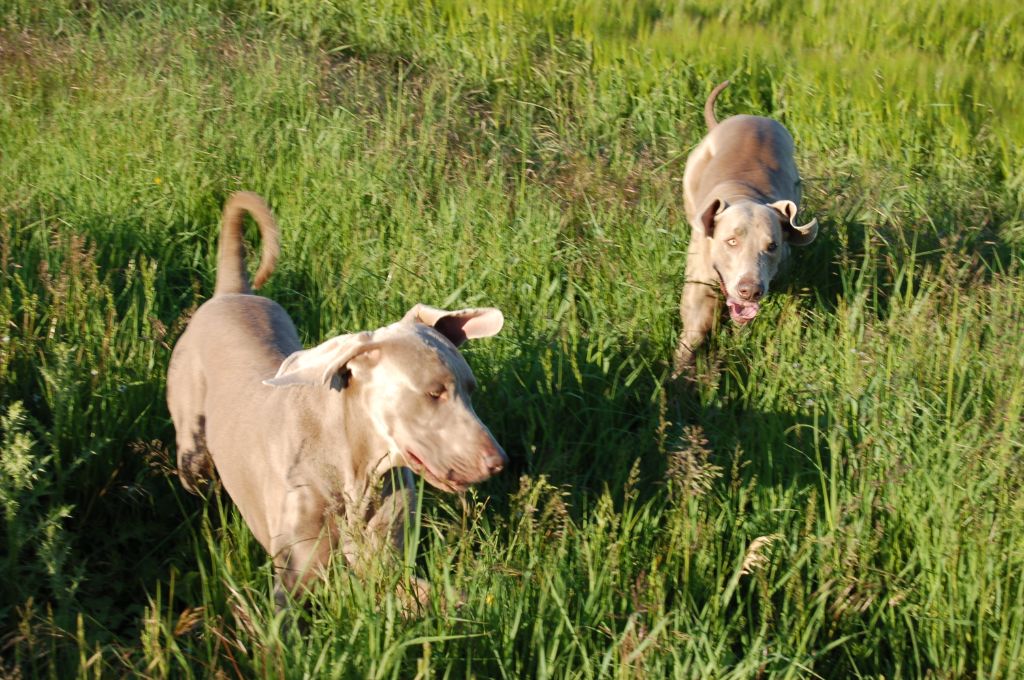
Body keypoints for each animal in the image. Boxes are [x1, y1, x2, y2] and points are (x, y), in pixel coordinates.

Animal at [167, 191, 507, 606]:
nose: (498, 462)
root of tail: (233, 292)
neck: (355, 473)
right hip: (192, 449)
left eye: (471, 390)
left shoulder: (386, 567)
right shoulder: (293, 580)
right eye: (434, 392)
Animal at [675, 81, 819, 374]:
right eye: (731, 241)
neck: (744, 195)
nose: (750, 290)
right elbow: (694, 329)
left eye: (772, 246)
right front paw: (676, 374)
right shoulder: (699, 281)